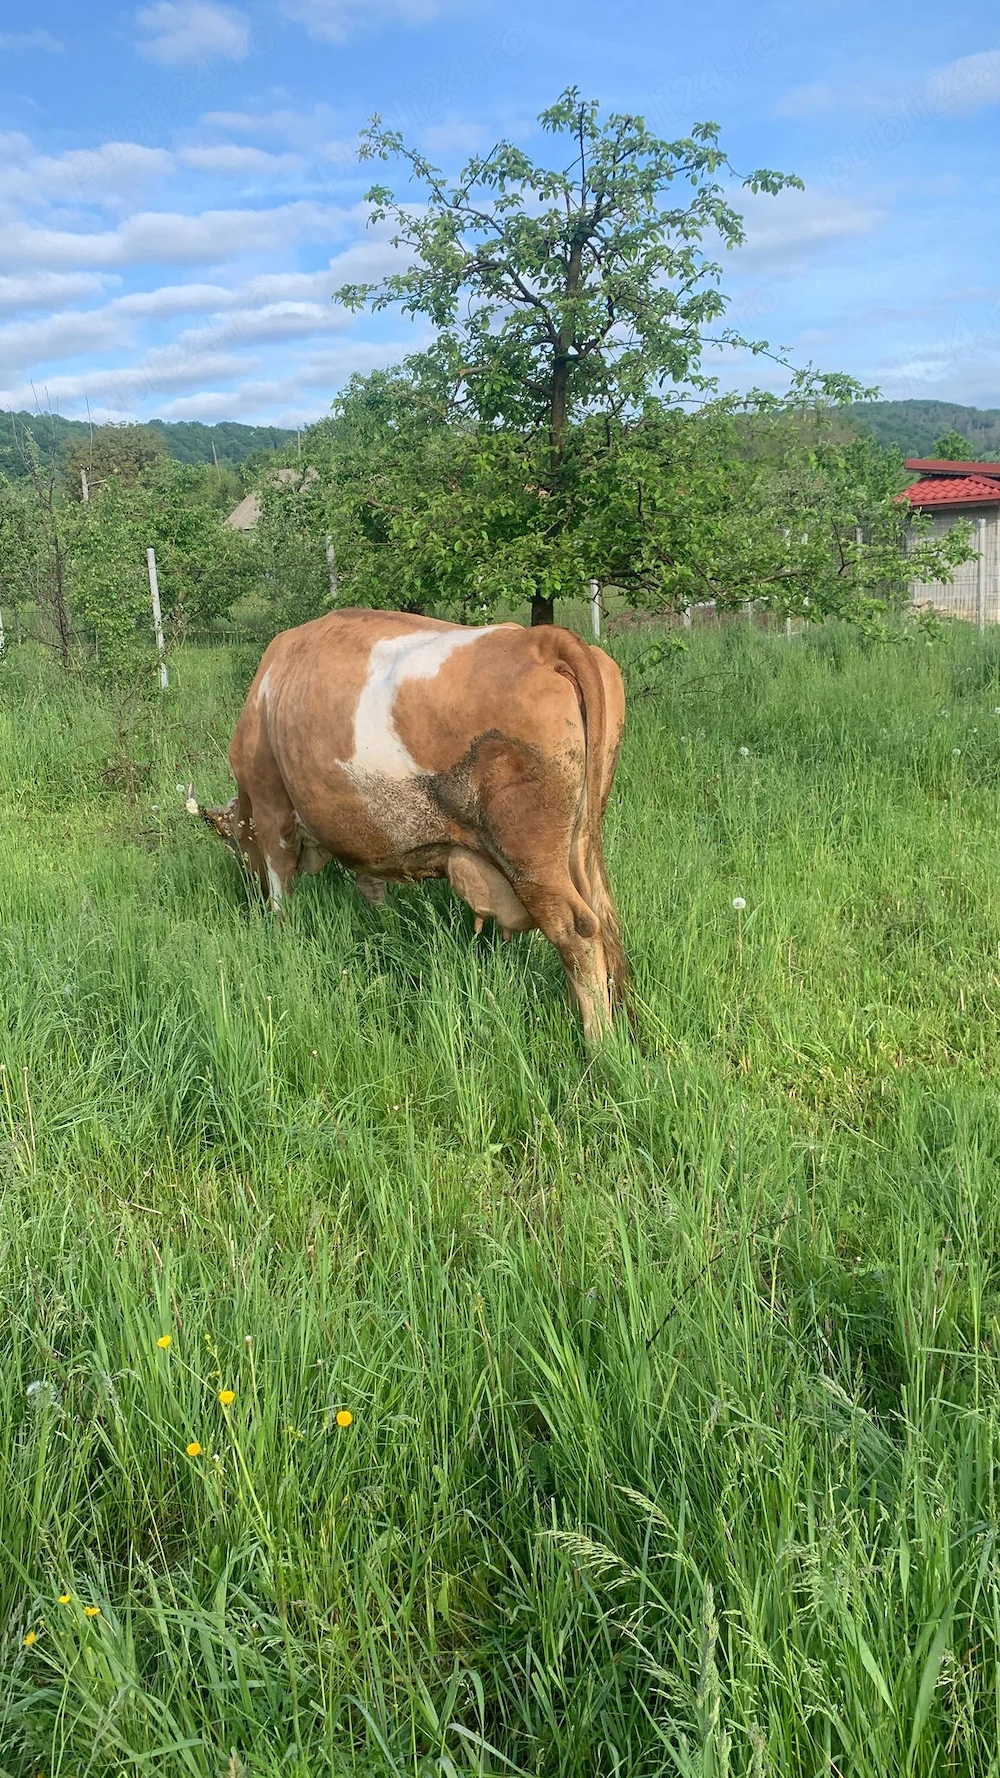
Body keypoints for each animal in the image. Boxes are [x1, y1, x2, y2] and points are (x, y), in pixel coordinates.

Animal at [188, 608, 627, 1039]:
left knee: (577, 933)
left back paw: (598, 1042)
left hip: (528, 857)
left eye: (234, 844)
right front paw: (380, 927)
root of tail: (541, 641)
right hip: (579, 844)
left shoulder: (270, 807)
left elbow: (281, 885)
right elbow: (371, 888)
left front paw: (280, 932)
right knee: (599, 917)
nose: (249, 887)